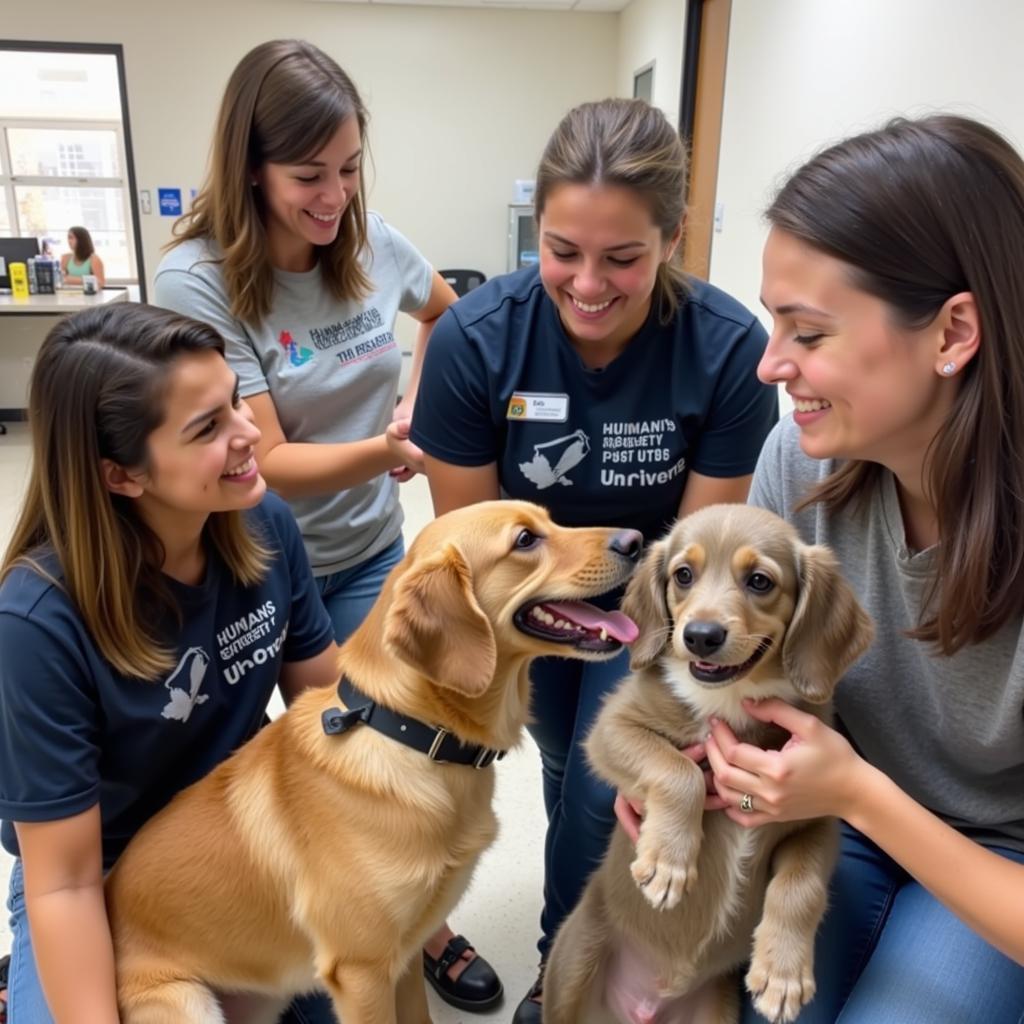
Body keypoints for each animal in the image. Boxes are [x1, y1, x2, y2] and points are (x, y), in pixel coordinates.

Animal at [103, 501, 638, 1024]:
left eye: (550, 518)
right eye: (525, 540)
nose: (635, 540)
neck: (411, 733)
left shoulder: (403, 955)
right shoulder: (360, 972)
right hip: (188, 1002)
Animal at [544, 503, 872, 1024]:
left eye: (759, 581)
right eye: (683, 575)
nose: (700, 636)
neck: (730, 702)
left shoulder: (817, 821)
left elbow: (800, 887)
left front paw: (782, 973)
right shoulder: (610, 730)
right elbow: (678, 771)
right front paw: (669, 861)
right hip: (574, 962)